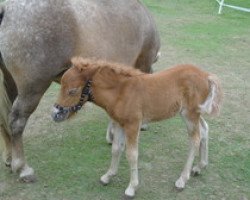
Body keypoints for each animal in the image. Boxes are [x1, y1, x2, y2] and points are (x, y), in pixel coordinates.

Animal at [0, 0, 160, 181]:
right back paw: (22, 167)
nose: (144, 125)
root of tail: (7, 9)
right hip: (32, 90)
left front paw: (112, 135)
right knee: (16, 121)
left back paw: (10, 157)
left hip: (11, 84)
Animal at [52, 57, 223, 198]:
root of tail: (206, 75)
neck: (120, 92)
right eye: (61, 86)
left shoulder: (133, 125)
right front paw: (108, 176)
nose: (55, 114)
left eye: (72, 91)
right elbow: (116, 149)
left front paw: (131, 188)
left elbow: (132, 154)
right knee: (204, 129)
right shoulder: (119, 124)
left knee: (195, 139)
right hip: (193, 113)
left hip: (190, 114)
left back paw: (182, 179)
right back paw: (200, 166)